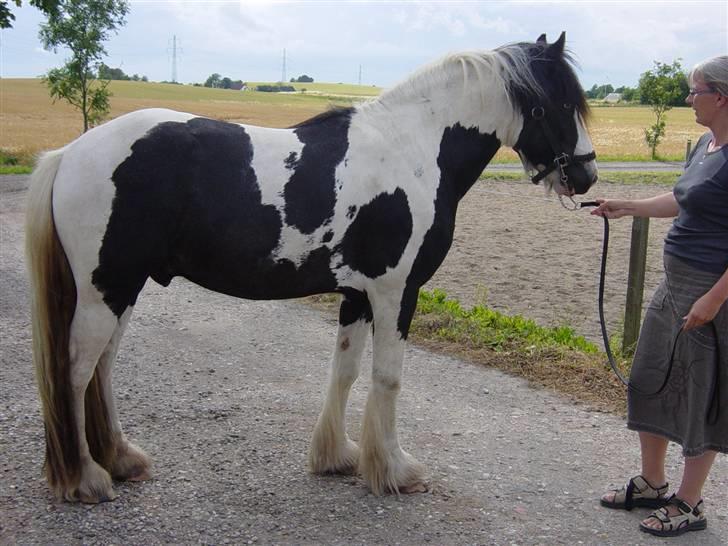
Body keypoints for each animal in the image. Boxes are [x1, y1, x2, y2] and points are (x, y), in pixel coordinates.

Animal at [27, 33, 596, 502]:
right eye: (563, 103)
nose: (587, 176)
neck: (411, 148)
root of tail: (70, 153)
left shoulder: (358, 295)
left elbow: (344, 371)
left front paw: (336, 457)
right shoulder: (397, 292)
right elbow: (388, 377)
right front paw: (394, 470)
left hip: (123, 288)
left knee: (101, 368)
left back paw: (121, 460)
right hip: (105, 290)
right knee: (75, 371)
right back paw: (86, 479)